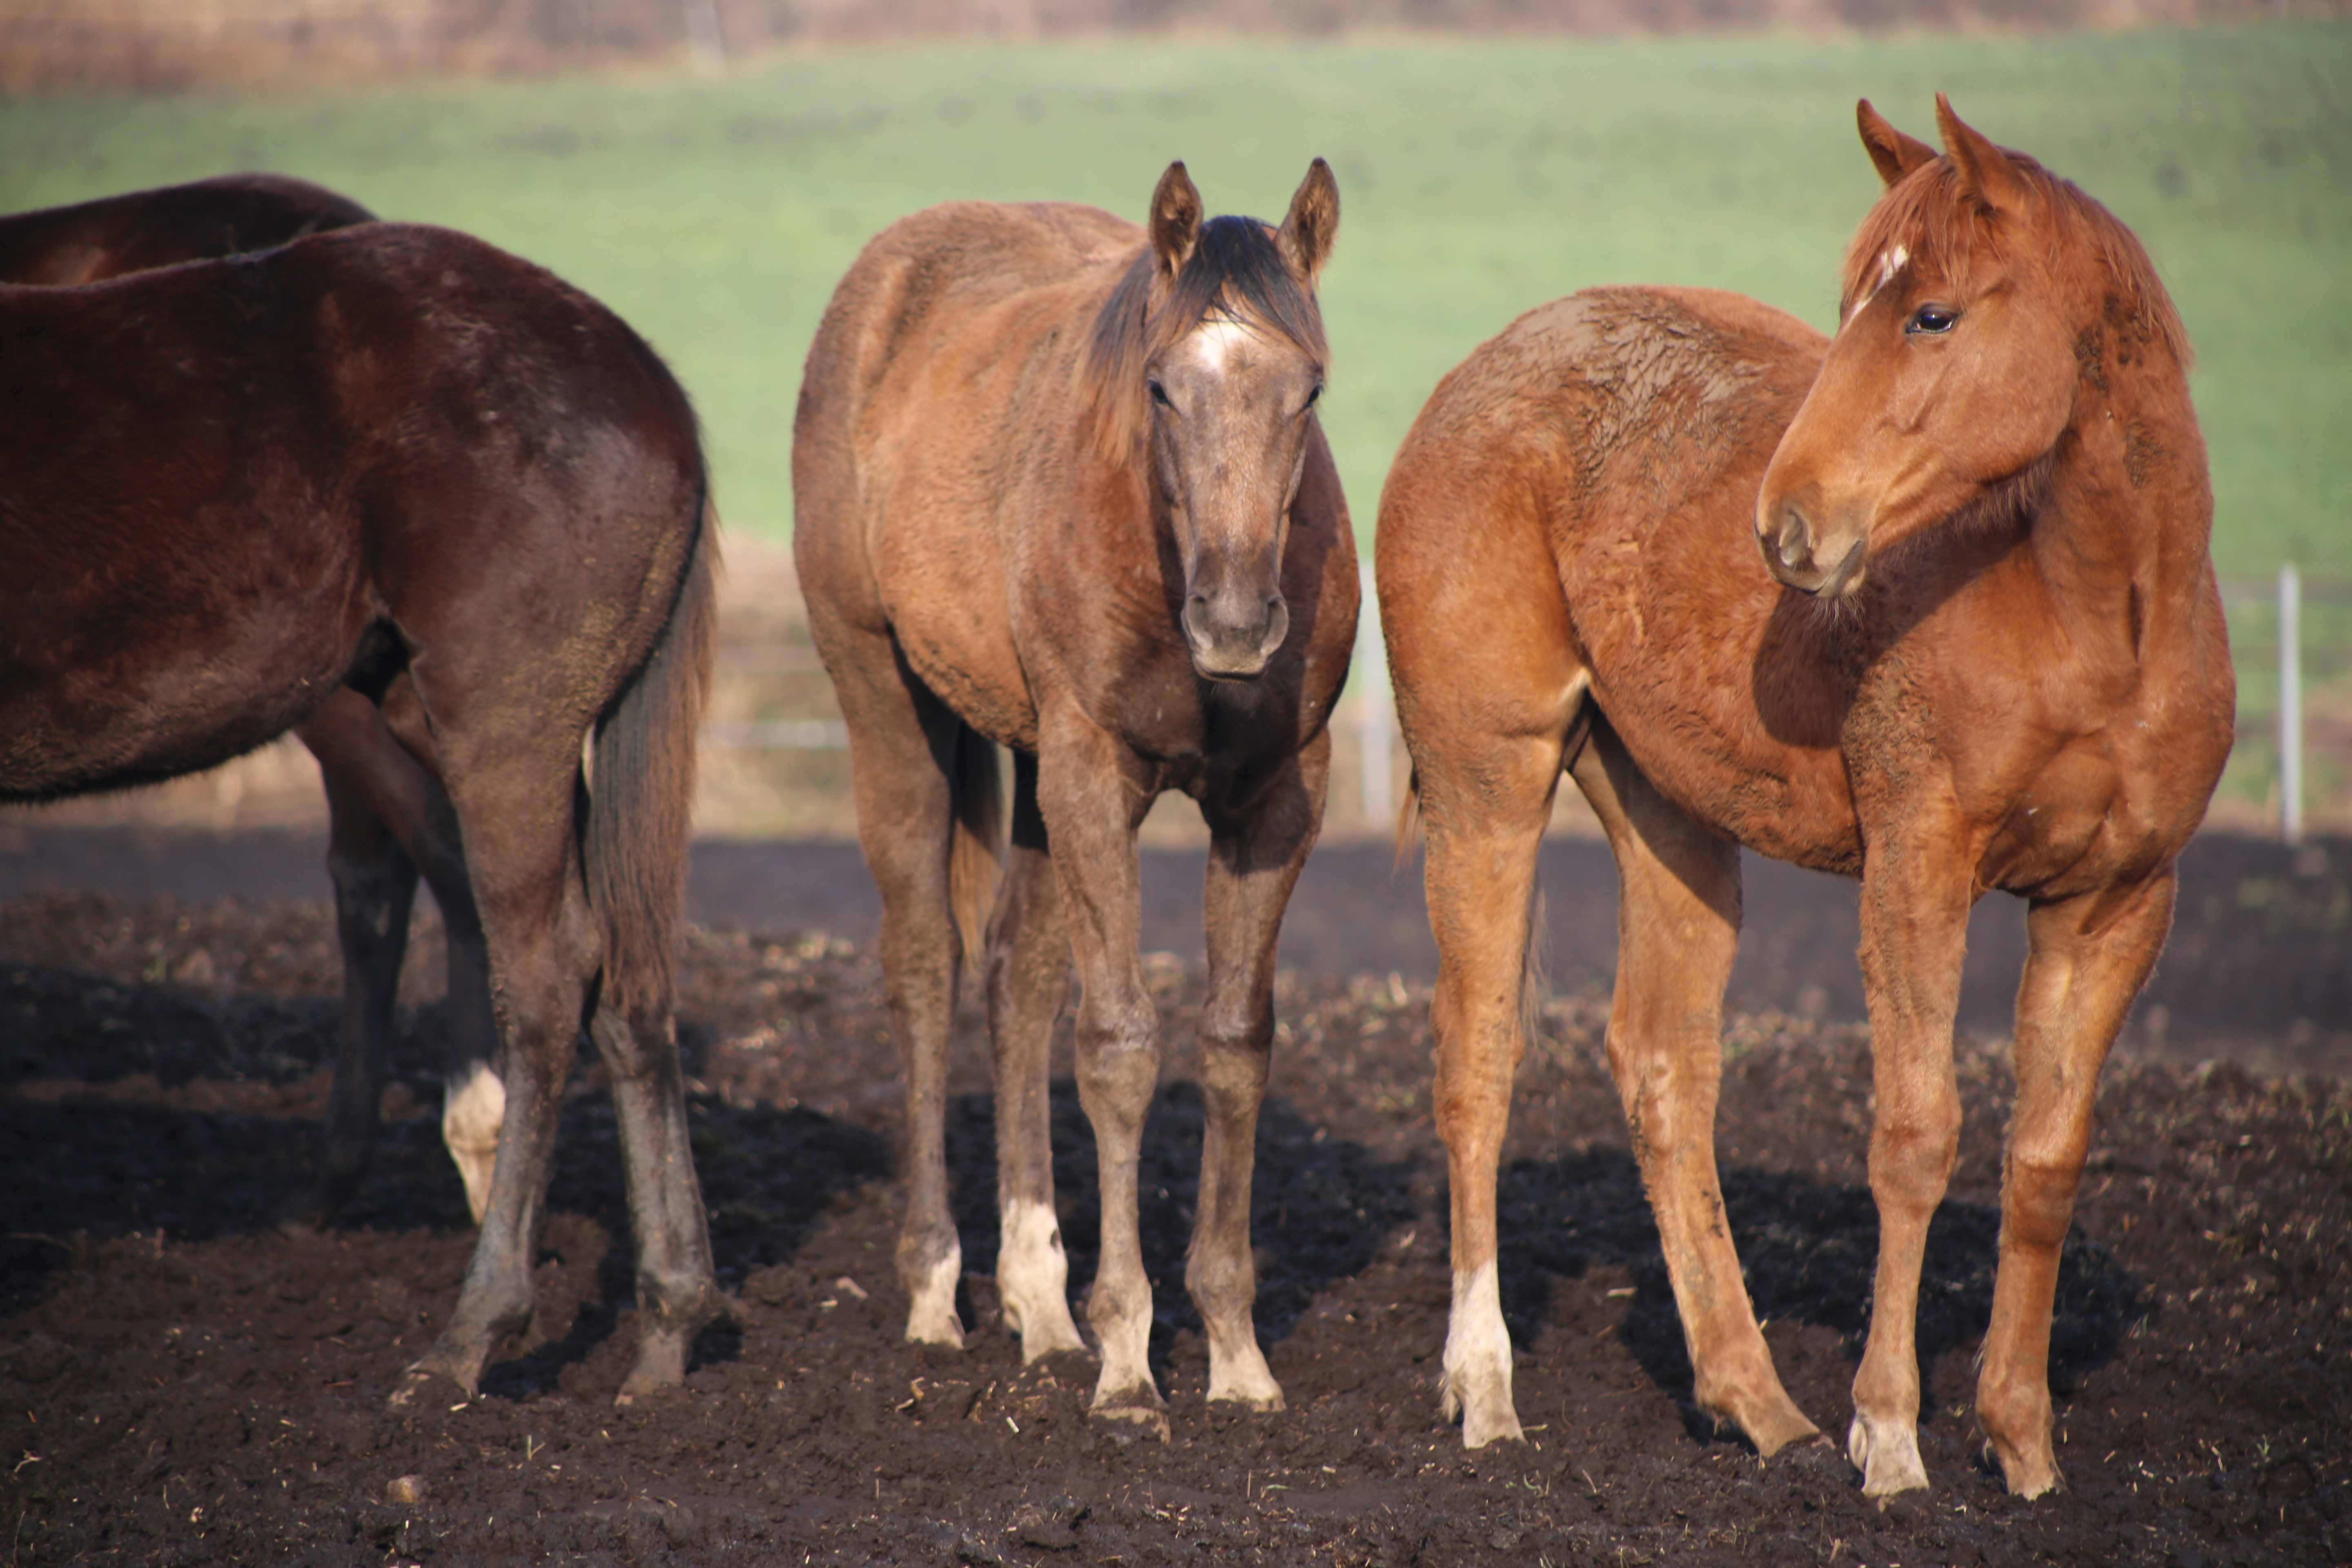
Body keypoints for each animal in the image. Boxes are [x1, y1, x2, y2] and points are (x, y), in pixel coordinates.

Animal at [795, 162, 1364, 1439]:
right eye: (1160, 387)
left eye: (1308, 387)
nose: (1236, 623)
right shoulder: (1098, 777)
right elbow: (1116, 1046)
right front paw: (1128, 1363)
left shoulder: (1274, 804)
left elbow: (1234, 1042)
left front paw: (1234, 1352)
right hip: (890, 710)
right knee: (925, 967)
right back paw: (938, 1291)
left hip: (1036, 775)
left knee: (1017, 980)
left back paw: (1039, 1307)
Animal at [1373, 98, 2239, 1495]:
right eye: (1848, 304)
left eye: (1931, 313)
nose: (1787, 526)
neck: (2087, 617)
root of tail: (1477, 374)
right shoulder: (1917, 869)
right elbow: (1915, 1137)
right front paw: (1890, 1437)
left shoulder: (2115, 904)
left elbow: (2044, 1160)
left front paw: (2022, 1442)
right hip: (1488, 787)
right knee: (1480, 1057)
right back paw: (1486, 1385)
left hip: (1672, 820)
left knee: (1665, 1066)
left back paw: (1753, 1399)